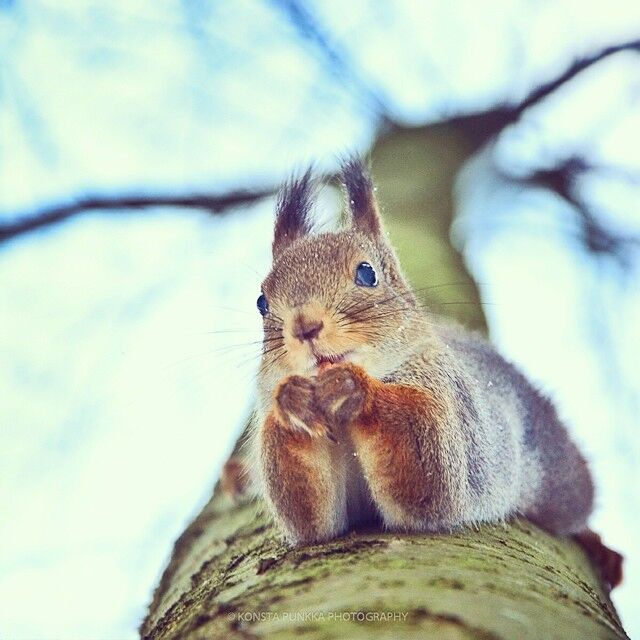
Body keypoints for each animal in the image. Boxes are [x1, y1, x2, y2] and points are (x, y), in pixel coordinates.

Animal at [222, 159, 624, 592]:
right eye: (262, 301)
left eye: (367, 274)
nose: (304, 326)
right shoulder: (315, 510)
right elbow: (312, 521)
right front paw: (292, 402)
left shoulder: (449, 399)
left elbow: (431, 483)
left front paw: (355, 388)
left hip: (558, 478)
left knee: (573, 508)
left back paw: (597, 545)